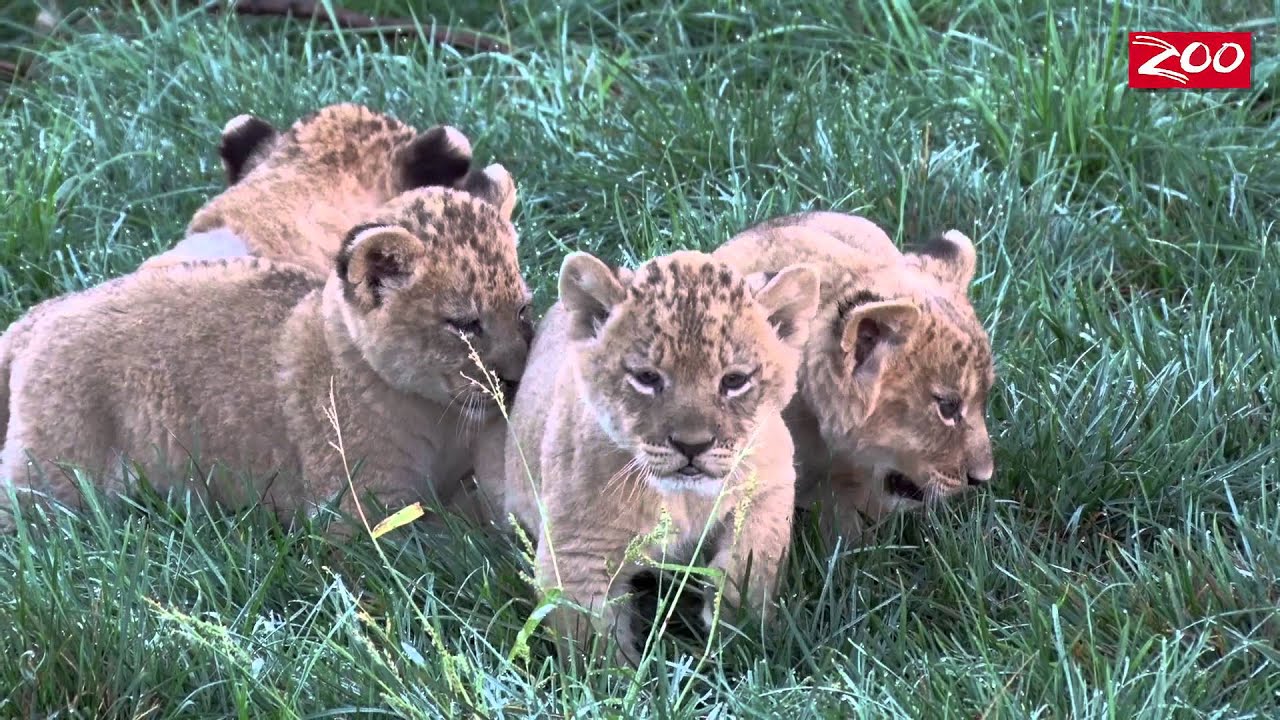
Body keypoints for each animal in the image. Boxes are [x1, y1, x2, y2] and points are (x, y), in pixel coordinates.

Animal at [0, 172, 532, 534]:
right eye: (464, 324)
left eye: (524, 310)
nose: (515, 380)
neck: (437, 415)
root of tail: (41, 316)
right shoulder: (360, 512)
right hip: (50, 473)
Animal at [491, 249, 820, 665]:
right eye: (647, 378)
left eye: (734, 380)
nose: (692, 445)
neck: (683, 498)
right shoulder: (573, 552)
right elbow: (593, 647)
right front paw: (623, 677)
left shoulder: (771, 480)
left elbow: (753, 556)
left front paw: (735, 629)